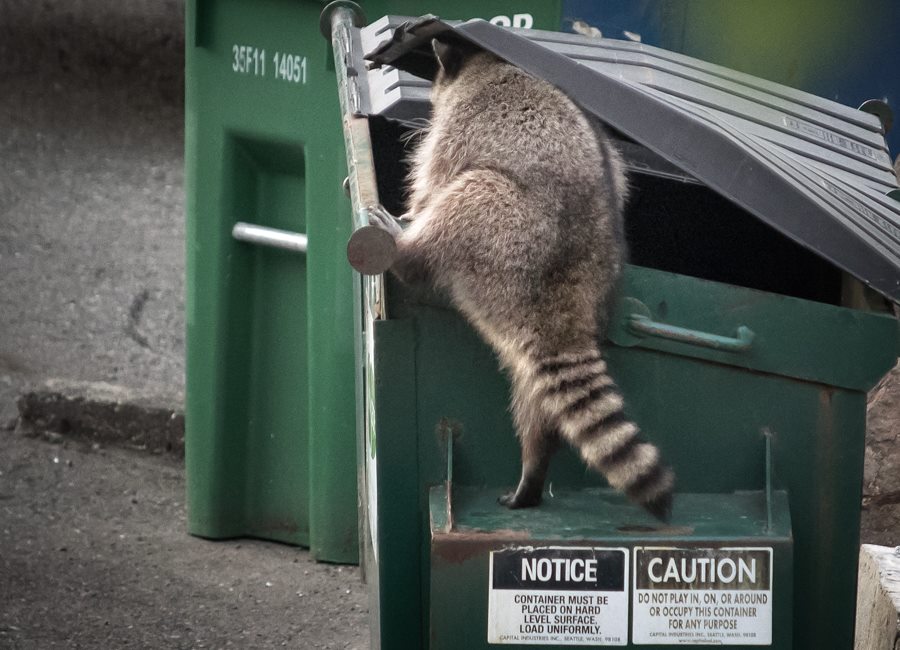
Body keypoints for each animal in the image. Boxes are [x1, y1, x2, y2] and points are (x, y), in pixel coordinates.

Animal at [368, 39, 676, 516]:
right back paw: (534, 465)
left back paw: (407, 253)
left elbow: (434, 180)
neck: (488, 67)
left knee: (469, 195)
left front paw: (412, 213)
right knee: (536, 396)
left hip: (505, 235)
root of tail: (566, 301)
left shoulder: (456, 129)